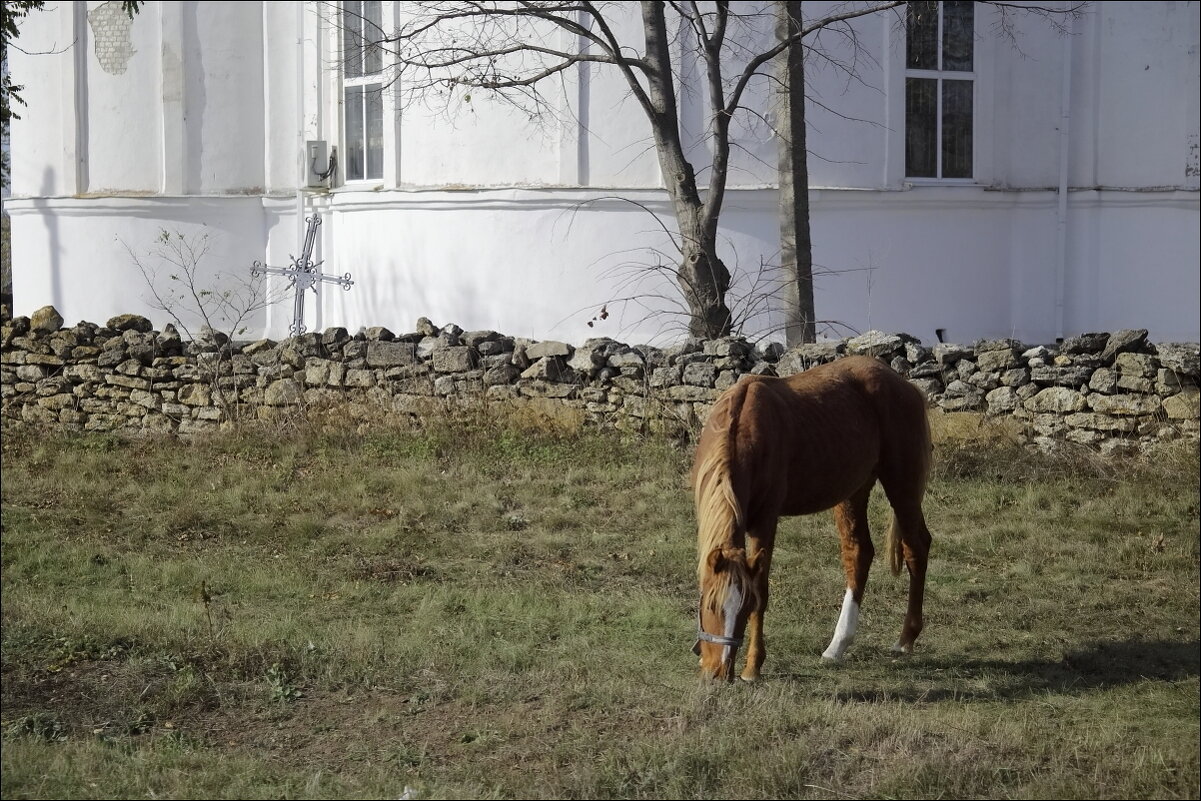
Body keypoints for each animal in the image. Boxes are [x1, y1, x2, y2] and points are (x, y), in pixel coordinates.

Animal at [691, 357, 931, 682]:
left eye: (745, 607)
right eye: (710, 605)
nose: (719, 673)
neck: (742, 430)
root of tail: (903, 383)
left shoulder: (765, 521)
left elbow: (763, 589)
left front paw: (752, 667)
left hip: (901, 484)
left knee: (915, 547)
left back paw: (905, 639)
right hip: (853, 491)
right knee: (859, 552)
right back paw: (837, 646)